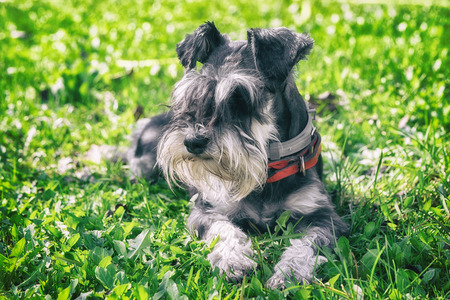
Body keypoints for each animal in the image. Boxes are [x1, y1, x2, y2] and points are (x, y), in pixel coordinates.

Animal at [126, 22, 348, 290]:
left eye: (240, 97)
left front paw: (289, 274)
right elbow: (225, 231)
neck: (268, 168)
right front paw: (233, 262)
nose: (192, 141)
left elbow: (306, 245)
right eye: (191, 95)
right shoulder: (207, 210)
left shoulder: (322, 217)